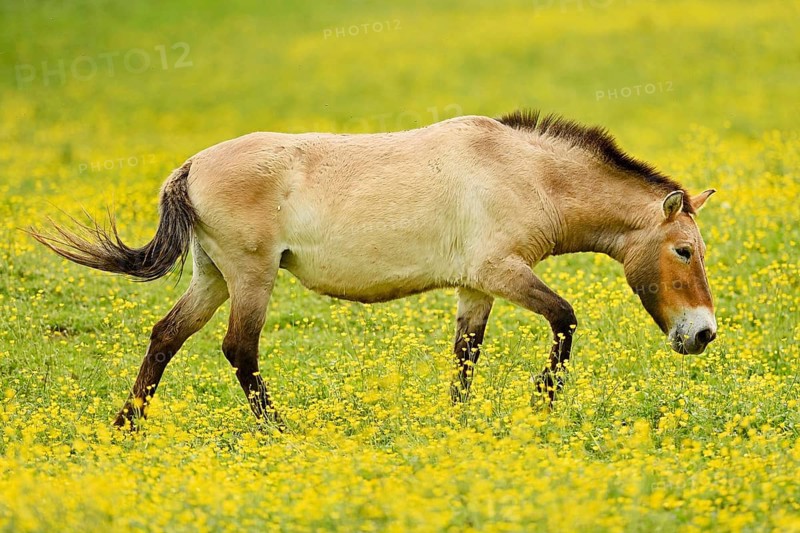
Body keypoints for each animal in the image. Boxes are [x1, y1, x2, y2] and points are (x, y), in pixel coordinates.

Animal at [31, 110, 717, 430]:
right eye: (684, 250)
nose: (704, 333)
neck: (526, 171)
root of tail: (192, 166)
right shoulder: (502, 271)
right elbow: (566, 319)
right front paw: (542, 403)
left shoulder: (476, 288)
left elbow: (465, 355)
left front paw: (456, 421)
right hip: (251, 278)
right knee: (238, 349)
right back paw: (278, 431)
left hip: (213, 278)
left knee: (166, 337)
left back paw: (125, 428)